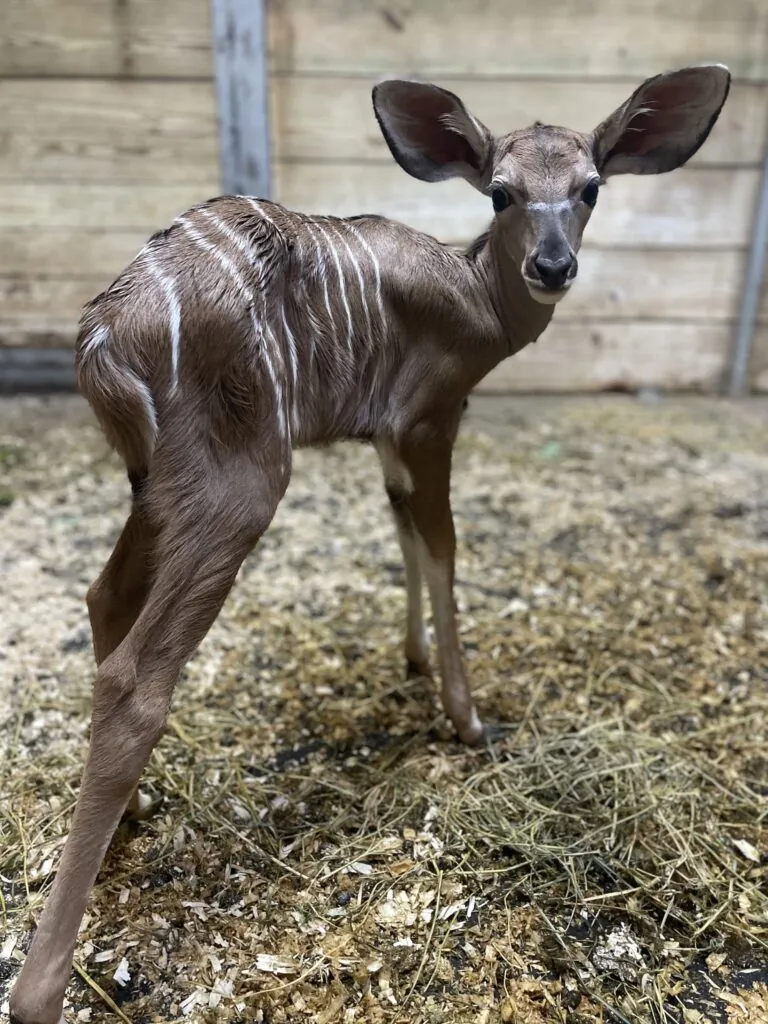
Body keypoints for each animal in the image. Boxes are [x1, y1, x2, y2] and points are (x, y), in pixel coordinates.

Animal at [13, 66, 733, 1024]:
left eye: (589, 187)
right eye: (502, 191)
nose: (552, 267)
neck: (477, 303)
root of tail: (103, 336)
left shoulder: (386, 438)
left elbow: (404, 535)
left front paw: (414, 659)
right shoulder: (427, 417)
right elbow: (446, 546)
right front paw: (469, 719)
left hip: (157, 484)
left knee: (104, 597)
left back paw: (131, 816)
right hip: (239, 483)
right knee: (136, 678)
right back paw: (40, 987)